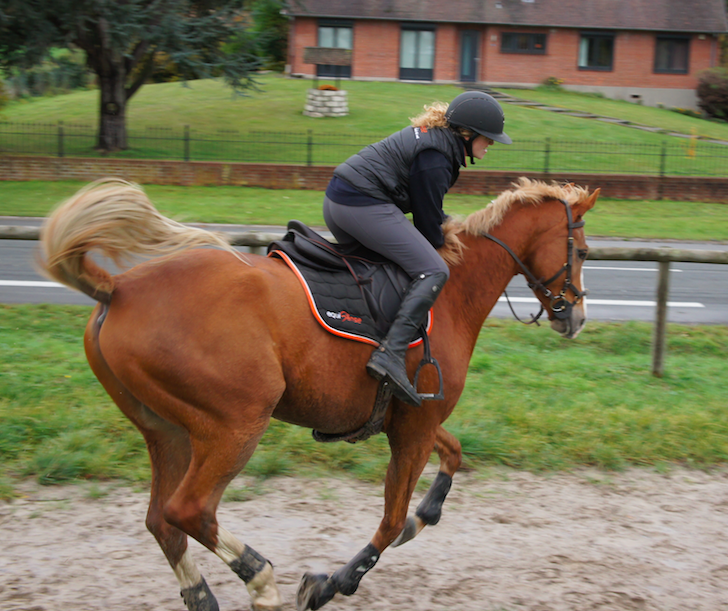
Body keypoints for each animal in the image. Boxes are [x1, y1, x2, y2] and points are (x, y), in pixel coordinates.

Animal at [38, 177, 596, 611]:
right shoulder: (414, 429)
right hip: (233, 426)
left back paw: (204, 595)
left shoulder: (411, 420)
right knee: (189, 511)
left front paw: (426, 515)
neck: (449, 288)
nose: (575, 317)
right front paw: (332, 583)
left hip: (167, 430)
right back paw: (260, 580)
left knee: (162, 521)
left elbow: (451, 458)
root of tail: (118, 288)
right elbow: (390, 521)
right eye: (585, 252)